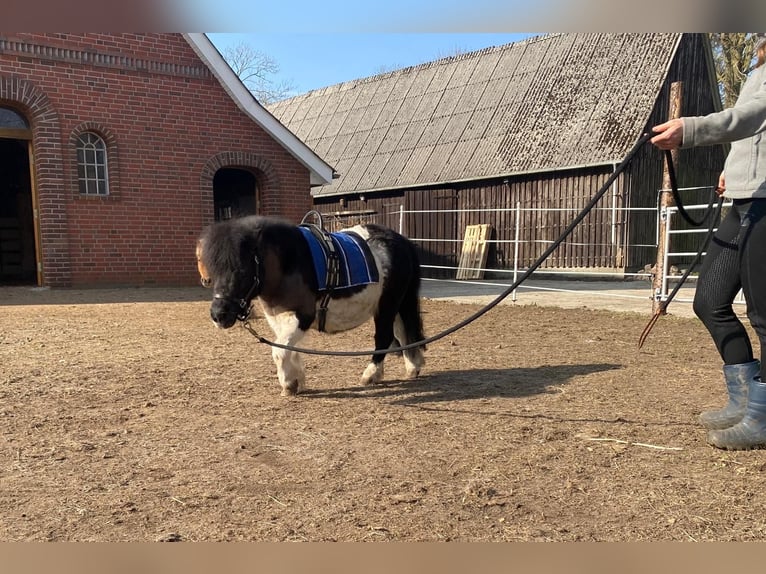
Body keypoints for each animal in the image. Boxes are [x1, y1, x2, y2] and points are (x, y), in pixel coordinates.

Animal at [198, 216, 426, 396]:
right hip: (398, 304)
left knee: (385, 337)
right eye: (214, 272)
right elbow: (287, 348)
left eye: (242, 271)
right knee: (403, 333)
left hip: (388, 304)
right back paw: (412, 366)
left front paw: (288, 384)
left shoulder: (303, 316)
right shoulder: (278, 319)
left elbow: (278, 350)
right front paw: (296, 379)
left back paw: (371, 374)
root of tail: (401, 241)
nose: (219, 315)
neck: (289, 264)